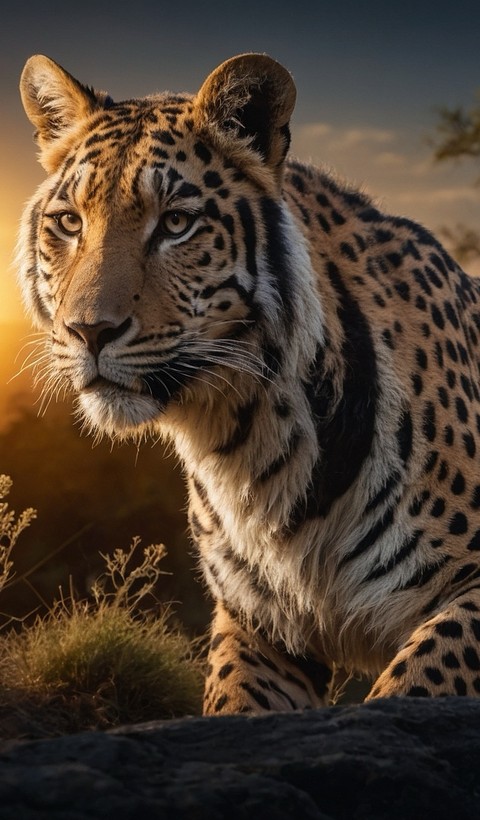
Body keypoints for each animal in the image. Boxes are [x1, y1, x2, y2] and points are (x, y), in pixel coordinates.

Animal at [17, 52, 480, 714]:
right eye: (69, 222)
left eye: (176, 223)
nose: (89, 331)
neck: (248, 440)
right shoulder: (256, 625)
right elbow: (231, 700)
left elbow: (416, 679)